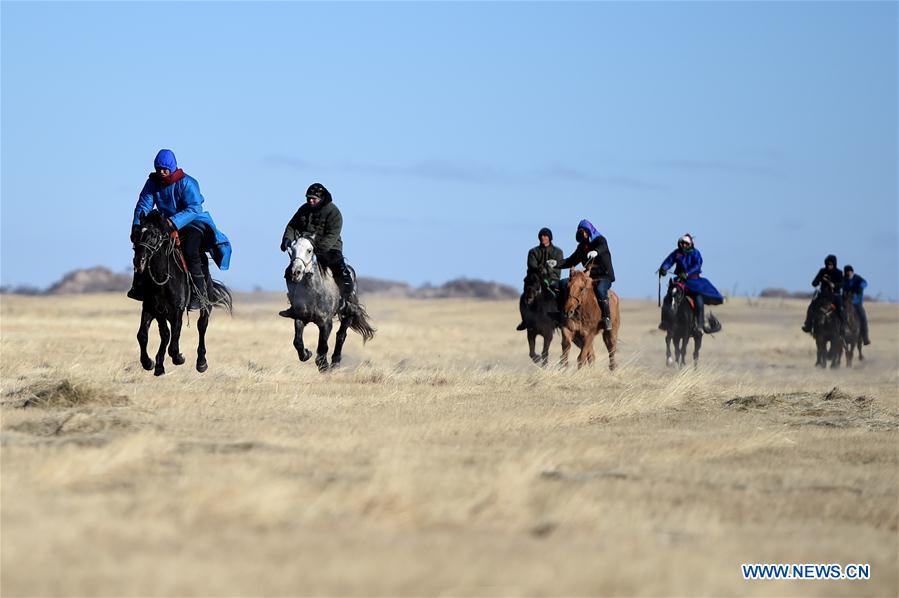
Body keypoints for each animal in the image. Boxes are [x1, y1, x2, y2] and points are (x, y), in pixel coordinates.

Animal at [133, 211, 234, 378]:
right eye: (135, 233)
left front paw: (179, 358)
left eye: (153, 234)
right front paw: (150, 363)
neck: (162, 278)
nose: (138, 262)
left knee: (202, 326)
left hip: (206, 306)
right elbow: (144, 335)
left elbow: (173, 342)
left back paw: (201, 362)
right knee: (165, 335)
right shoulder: (152, 308)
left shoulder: (177, 310)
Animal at [284, 234, 376, 370]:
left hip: (348, 315)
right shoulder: (300, 319)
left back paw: (335, 362)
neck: (314, 292)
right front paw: (307, 354)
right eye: (292, 250)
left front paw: (324, 366)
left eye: (309, 250)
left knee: (341, 335)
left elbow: (323, 345)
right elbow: (297, 342)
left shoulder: (326, 323)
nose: (295, 272)